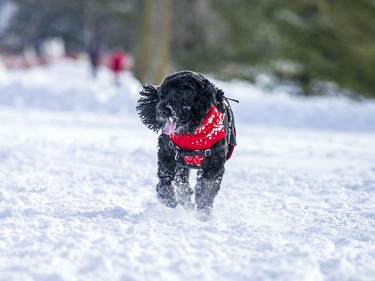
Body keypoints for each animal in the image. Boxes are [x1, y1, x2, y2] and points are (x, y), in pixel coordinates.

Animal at [137, 69, 236, 219]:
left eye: (185, 91)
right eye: (164, 92)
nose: (162, 110)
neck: (193, 132)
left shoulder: (214, 165)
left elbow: (206, 190)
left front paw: (204, 214)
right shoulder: (167, 153)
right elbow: (165, 179)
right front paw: (168, 198)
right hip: (181, 165)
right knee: (182, 185)